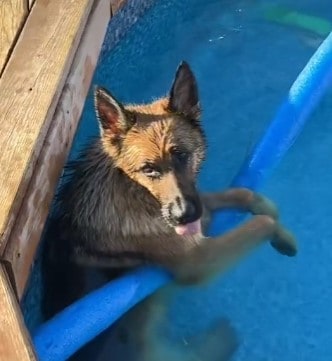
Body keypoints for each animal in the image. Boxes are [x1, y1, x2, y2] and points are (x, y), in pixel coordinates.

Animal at [42, 60, 296, 358]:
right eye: (148, 169)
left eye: (182, 155)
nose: (184, 215)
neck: (133, 191)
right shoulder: (200, 260)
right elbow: (261, 223)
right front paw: (275, 228)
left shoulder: (201, 206)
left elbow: (243, 194)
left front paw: (281, 228)